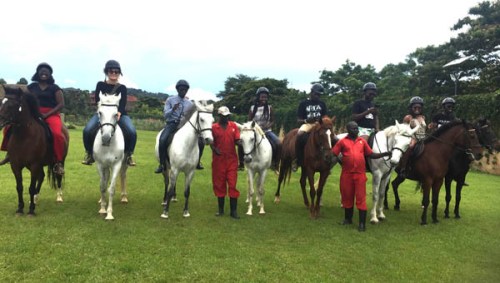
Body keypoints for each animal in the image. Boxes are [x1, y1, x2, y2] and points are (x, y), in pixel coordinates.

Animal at [0, 84, 70, 215]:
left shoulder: (34, 164)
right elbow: (20, 187)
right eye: (1, 102)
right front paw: (20, 208)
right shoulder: (16, 165)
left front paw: (31, 210)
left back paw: (58, 197)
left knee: (57, 176)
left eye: (11, 105)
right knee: (41, 176)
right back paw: (36, 198)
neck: (24, 136)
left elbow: (31, 187)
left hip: (59, 161)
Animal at [94, 93, 128, 222]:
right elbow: (103, 186)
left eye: (115, 114)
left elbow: (112, 189)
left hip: (124, 163)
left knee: (123, 175)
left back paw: (124, 197)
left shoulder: (116, 165)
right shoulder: (100, 164)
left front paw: (109, 213)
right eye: (100, 113)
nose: (105, 137)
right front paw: (103, 209)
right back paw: (101, 200)